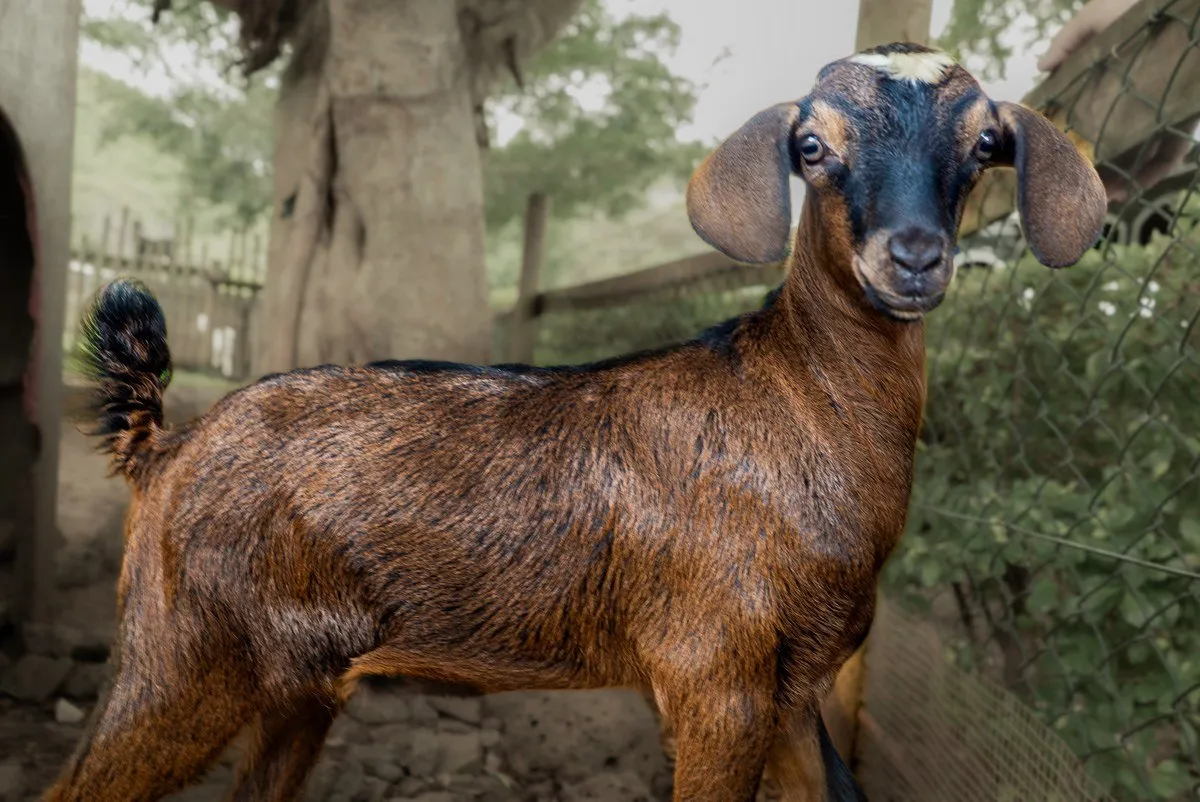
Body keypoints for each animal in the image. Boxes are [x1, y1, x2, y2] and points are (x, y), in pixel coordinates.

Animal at [45, 42, 1105, 802]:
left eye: (983, 144)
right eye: (812, 147)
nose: (915, 256)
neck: (794, 406)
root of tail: (164, 447)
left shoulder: (797, 685)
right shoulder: (710, 674)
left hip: (297, 684)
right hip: (182, 656)